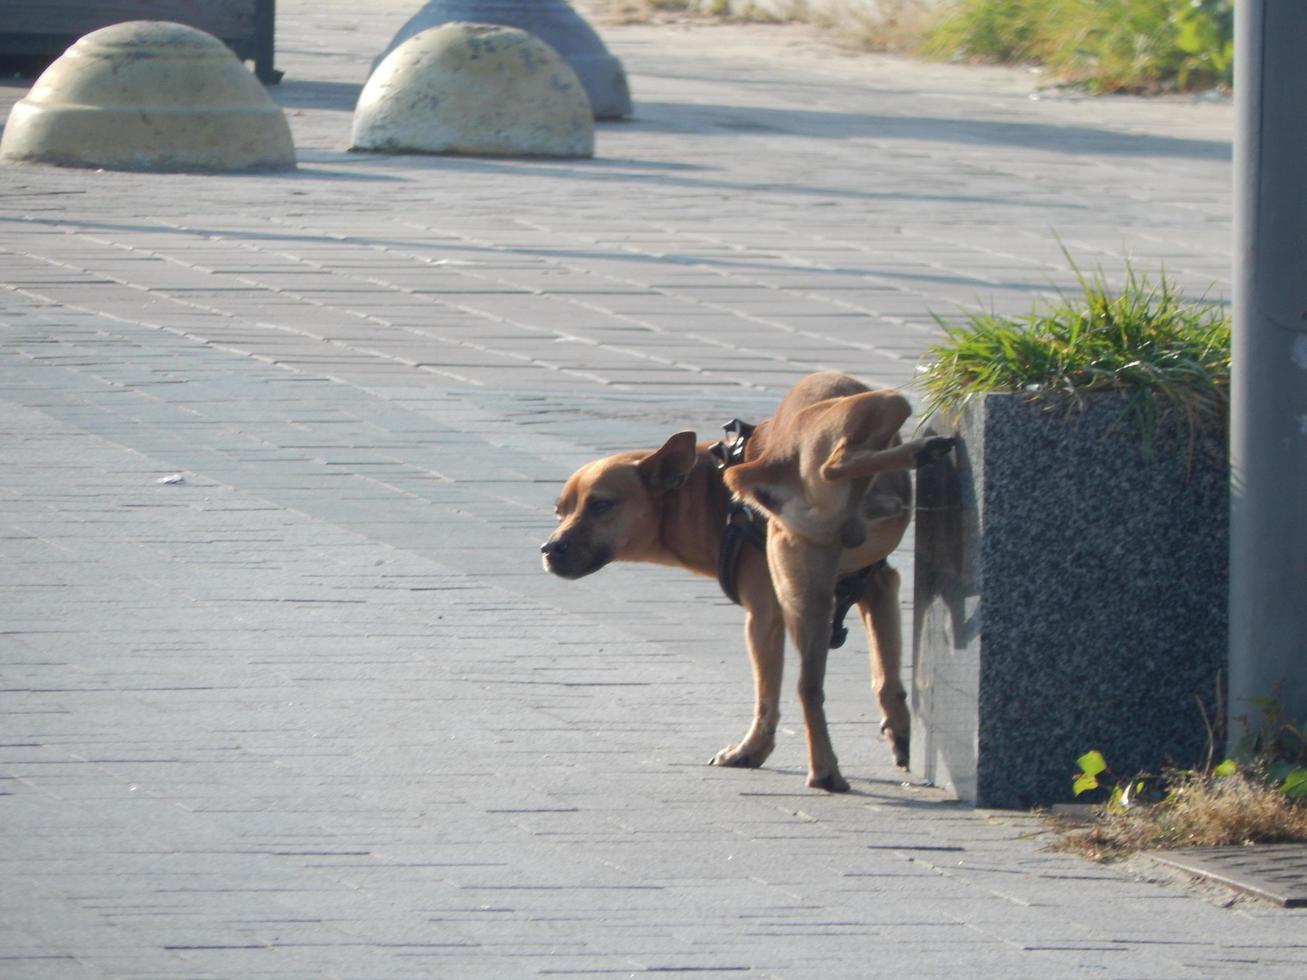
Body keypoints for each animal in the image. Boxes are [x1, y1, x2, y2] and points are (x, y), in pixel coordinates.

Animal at [541, 371, 951, 794]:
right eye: (560, 511)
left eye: (600, 505)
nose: (549, 548)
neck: (707, 494)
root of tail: (773, 461)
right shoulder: (879, 586)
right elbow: (885, 676)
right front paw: (900, 732)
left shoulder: (762, 616)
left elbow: (766, 695)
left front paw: (751, 749)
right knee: (812, 684)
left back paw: (823, 770)